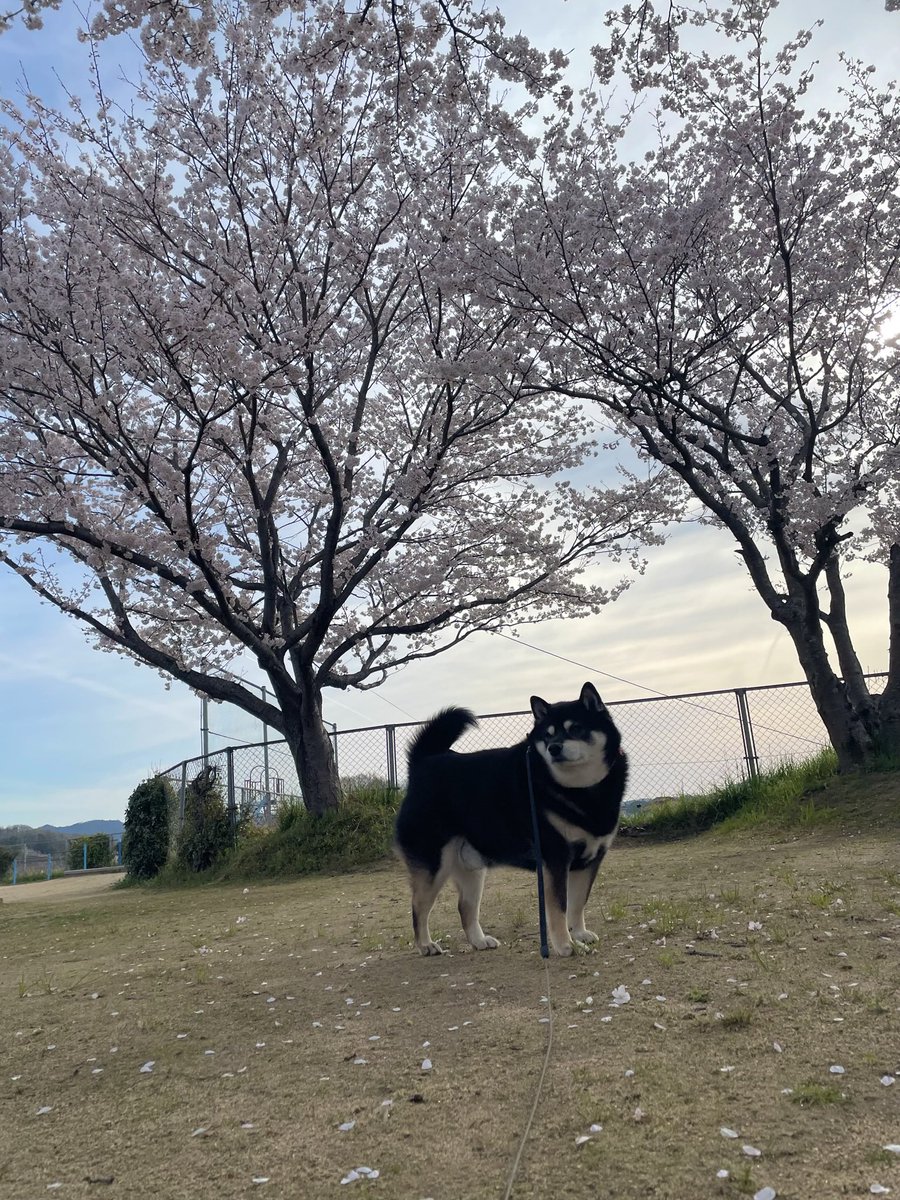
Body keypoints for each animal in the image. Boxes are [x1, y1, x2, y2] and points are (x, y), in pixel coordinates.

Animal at [393, 686, 628, 955]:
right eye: (547, 736)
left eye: (576, 728)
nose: (554, 748)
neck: (580, 788)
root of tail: (422, 763)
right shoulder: (555, 859)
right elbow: (558, 907)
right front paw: (565, 945)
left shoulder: (590, 860)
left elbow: (577, 903)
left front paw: (579, 934)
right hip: (433, 866)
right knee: (418, 907)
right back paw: (425, 944)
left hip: (471, 869)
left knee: (465, 907)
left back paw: (479, 941)